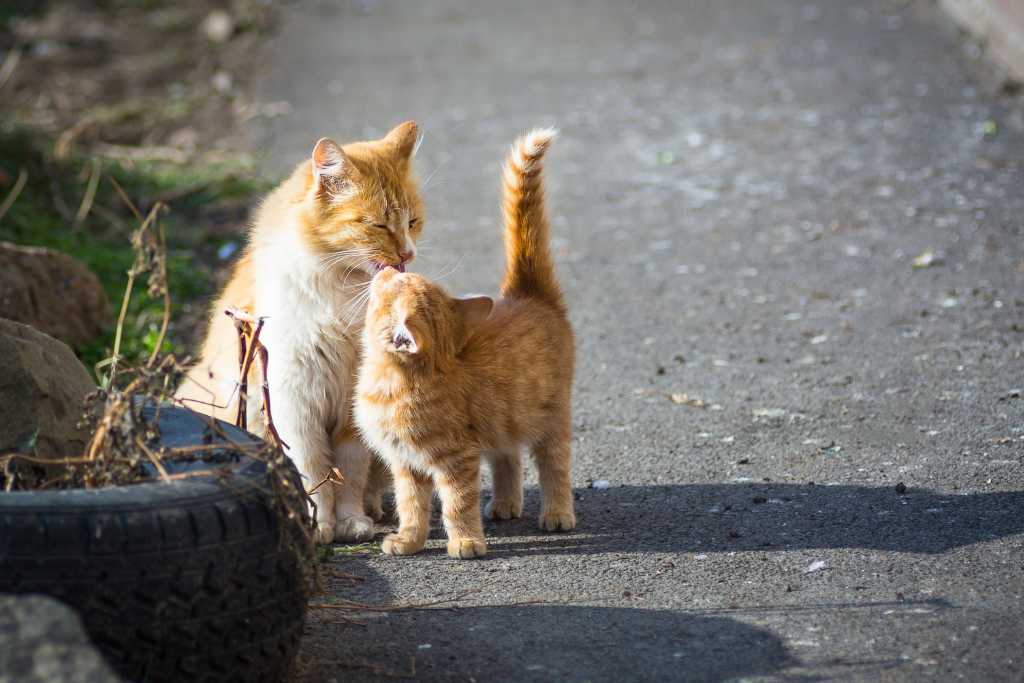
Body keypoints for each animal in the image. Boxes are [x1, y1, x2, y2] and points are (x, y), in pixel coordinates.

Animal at [176, 120, 423, 540]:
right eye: (377, 225)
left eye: (412, 222)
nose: (408, 254)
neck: (343, 292)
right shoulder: (296, 402)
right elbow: (313, 470)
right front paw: (318, 524)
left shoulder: (351, 407)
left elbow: (350, 473)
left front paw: (351, 521)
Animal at [354, 129, 577, 561]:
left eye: (396, 285)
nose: (391, 268)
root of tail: (528, 296)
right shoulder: (406, 464)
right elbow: (410, 504)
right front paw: (409, 540)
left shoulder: (455, 458)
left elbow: (457, 503)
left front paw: (466, 542)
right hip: (503, 417)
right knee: (508, 457)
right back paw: (506, 504)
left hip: (551, 415)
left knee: (553, 464)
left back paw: (558, 512)